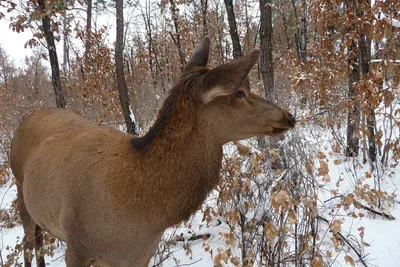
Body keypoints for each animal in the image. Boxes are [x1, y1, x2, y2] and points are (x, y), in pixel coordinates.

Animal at [10, 36, 296, 267]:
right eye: (239, 92)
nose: (288, 116)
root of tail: (24, 120)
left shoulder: (139, 255)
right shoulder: (77, 247)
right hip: (22, 194)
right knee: (28, 246)